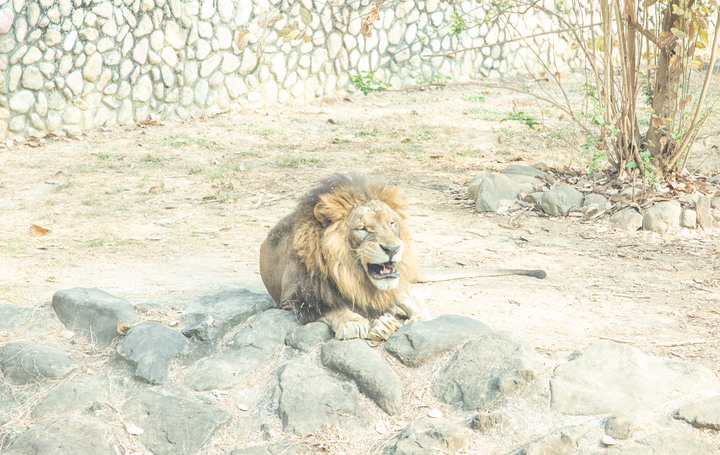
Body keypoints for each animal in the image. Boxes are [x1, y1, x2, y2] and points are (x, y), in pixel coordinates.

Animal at [258, 175, 544, 342]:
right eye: (364, 229)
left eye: (392, 223)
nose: (394, 248)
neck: (349, 274)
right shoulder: (294, 298)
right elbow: (332, 308)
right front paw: (354, 323)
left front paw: (385, 325)